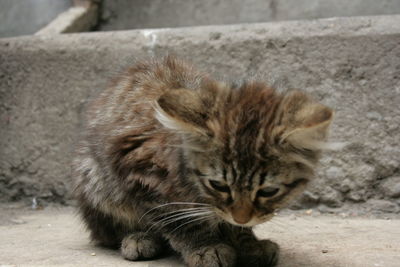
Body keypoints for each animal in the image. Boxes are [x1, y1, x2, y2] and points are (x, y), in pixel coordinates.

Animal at [73, 56, 332, 266]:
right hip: (95, 180)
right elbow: (179, 220)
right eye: (218, 185)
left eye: (268, 191)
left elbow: (228, 222)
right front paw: (205, 247)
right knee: (109, 231)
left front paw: (248, 243)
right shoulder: (140, 172)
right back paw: (138, 238)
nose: (241, 217)